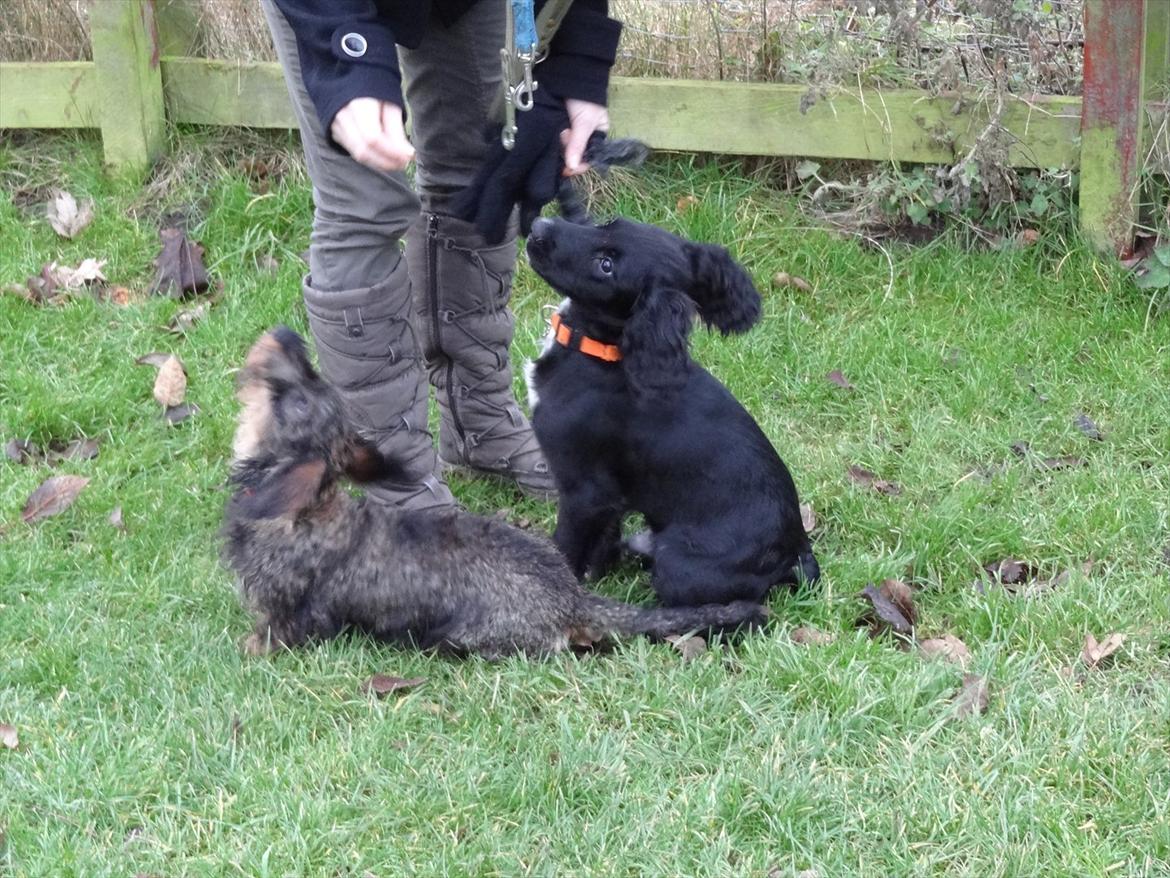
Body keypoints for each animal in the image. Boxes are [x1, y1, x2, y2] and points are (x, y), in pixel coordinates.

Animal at [526, 216, 819, 608]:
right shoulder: (611, 498)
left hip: (678, 564)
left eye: (606, 266)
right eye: (607, 223)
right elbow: (602, 542)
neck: (602, 352)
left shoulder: (585, 492)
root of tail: (797, 552)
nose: (539, 226)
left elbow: (565, 549)